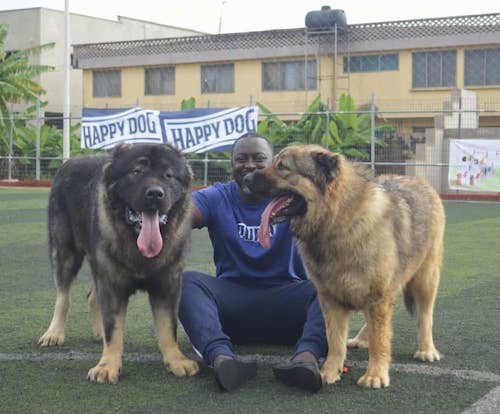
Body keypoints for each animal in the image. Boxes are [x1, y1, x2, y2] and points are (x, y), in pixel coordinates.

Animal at [38, 144, 199, 384]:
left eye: (168, 175)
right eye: (136, 172)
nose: (155, 193)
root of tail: (70, 162)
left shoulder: (167, 286)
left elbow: (168, 327)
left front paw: (176, 360)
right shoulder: (112, 284)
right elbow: (113, 328)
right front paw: (108, 365)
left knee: (92, 297)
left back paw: (97, 334)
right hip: (65, 253)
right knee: (63, 297)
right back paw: (54, 333)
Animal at [244, 143, 444, 388]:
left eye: (282, 166)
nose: (246, 178)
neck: (337, 220)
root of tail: (421, 181)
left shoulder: (378, 295)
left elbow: (380, 340)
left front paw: (375, 374)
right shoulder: (331, 299)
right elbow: (335, 340)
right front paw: (329, 371)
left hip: (425, 279)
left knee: (425, 316)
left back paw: (427, 350)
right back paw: (360, 339)